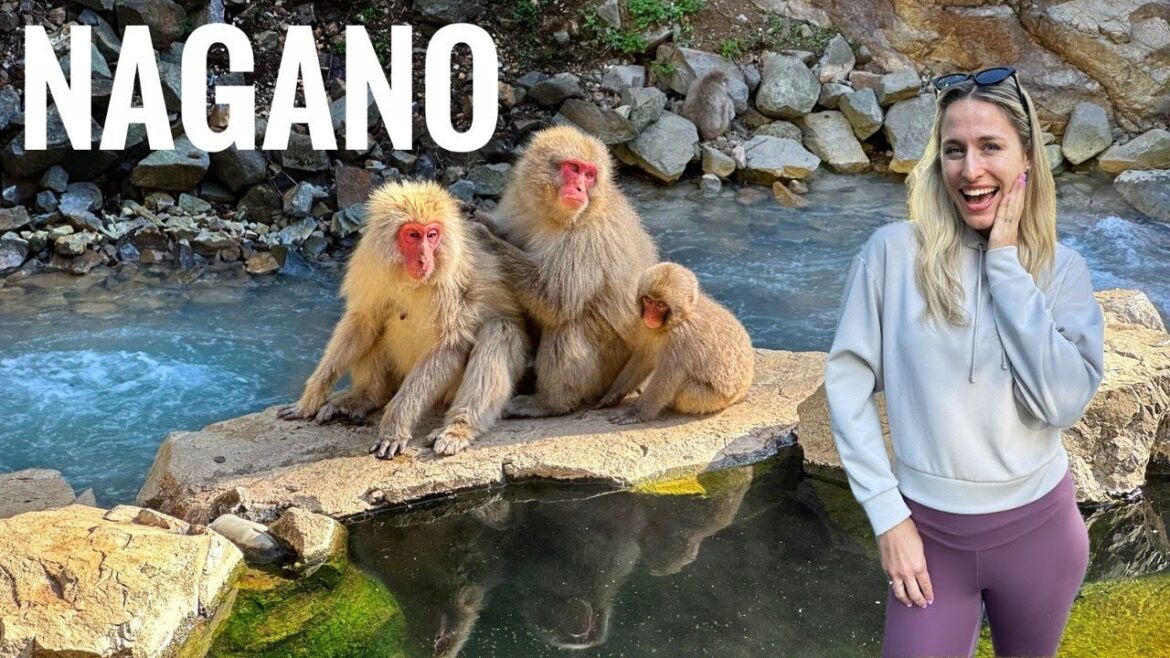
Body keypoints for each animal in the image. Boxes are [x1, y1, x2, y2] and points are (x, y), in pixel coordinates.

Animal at [276, 181, 529, 458]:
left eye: (432, 235)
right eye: (413, 235)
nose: (424, 259)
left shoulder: (453, 282)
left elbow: (450, 345)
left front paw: (395, 425)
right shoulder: (371, 264)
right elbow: (362, 321)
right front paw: (309, 399)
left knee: (501, 329)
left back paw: (458, 428)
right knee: (373, 326)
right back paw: (367, 397)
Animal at [473, 125, 659, 418]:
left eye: (590, 174)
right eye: (574, 168)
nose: (581, 187)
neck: (553, 217)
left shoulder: (586, 238)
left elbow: (555, 301)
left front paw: (485, 237)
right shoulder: (520, 207)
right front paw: (479, 217)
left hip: (610, 370)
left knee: (570, 322)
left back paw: (550, 402)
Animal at [597, 262, 754, 424]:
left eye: (660, 304)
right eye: (648, 300)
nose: (650, 316)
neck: (679, 319)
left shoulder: (680, 339)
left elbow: (667, 379)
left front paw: (634, 413)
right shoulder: (649, 329)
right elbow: (644, 358)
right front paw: (614, 393)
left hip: (710, 400)